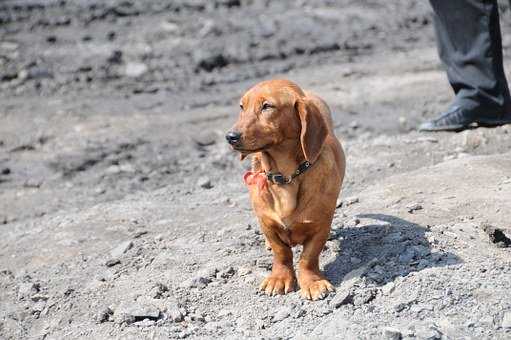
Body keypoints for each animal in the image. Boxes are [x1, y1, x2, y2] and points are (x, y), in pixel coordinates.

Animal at [226, 79, 346, 300]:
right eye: (241, 107)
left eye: (267, 106)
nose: (230, 137)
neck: (286, 177)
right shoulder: (267, 224)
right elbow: (281, 252)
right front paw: (279, 278)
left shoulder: (320, 226)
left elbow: (308, 257)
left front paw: (312, 282)